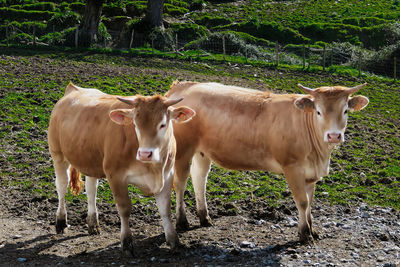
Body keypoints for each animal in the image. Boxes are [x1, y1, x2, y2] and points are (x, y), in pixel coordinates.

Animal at [48, 84, 195, 255]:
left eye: (163, 124)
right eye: (135, 124)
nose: (145, 153)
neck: (154, 168)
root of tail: (73, 89)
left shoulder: (167, 175)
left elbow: (165, 209)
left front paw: (173, 240)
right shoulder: (115, 175)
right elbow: (124, 209)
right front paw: (126, 242)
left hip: (91, 159)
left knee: (91, 190)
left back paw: (93, 223)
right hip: (58, 154)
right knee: (61, 186)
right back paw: (60, 222)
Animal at [165, 80, 368, 242]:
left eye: (345, 110)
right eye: (318, 111)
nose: (334, 136)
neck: (319, 155)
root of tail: (185, 85)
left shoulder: (311, 173)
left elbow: (310, 202)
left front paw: (313, 230)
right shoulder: (292, 167)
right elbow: (302, 201)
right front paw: (304, 234)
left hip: (202, 152)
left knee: (199, 179)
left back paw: (204, 217)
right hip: (183, 149)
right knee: (181, 182)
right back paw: (182, 221)